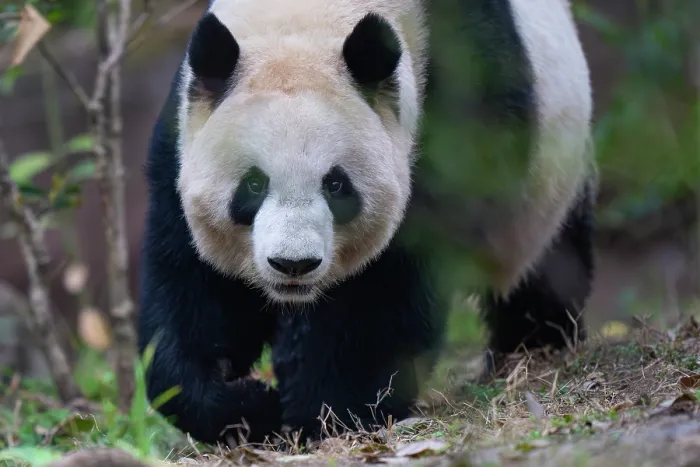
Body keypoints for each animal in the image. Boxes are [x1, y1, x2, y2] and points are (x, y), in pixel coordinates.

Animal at [138, 0, 595, 447]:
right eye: (253, 183)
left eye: (336, 184)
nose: (293, 264)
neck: (303, 19)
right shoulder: (179, 145)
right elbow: (191, 291)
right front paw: (244, 405)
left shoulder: (456, 100)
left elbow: (387, 286)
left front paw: (326, 411)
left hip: (550, 190)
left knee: (544, 274)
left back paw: (536, 344)